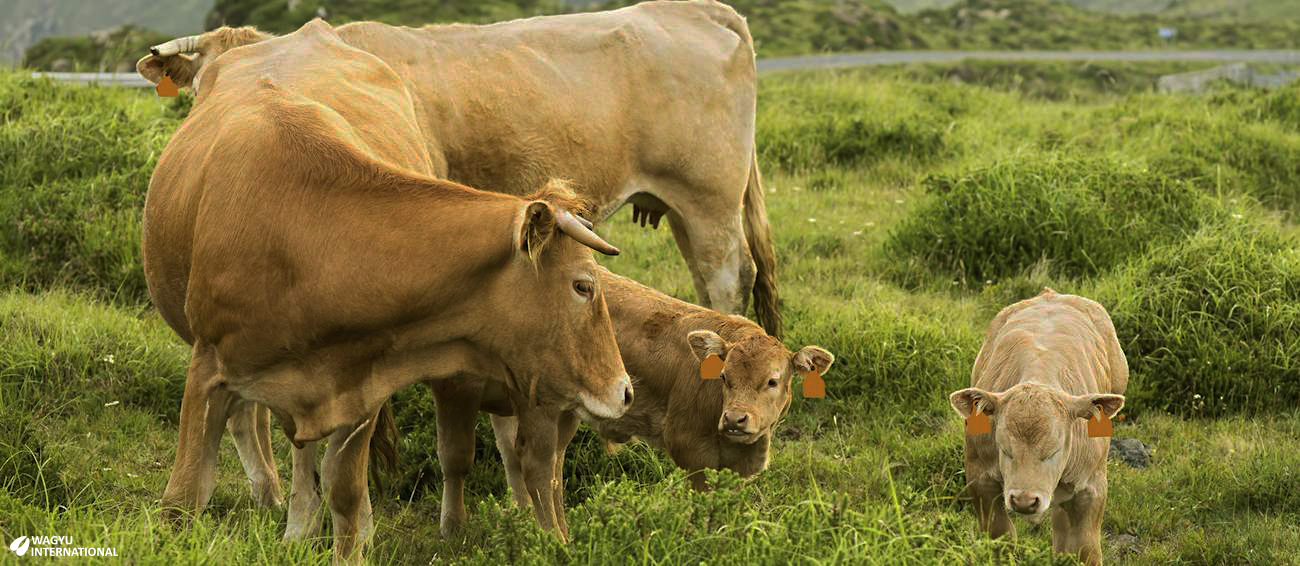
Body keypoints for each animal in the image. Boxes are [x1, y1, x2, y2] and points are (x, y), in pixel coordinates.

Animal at [138, 19, 634, 564]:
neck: (306, 235)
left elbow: (346, 492)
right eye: (584, 286)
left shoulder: (361, 386)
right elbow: (185, 494)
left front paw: (349, 542)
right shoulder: (209, 370)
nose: (626, 391)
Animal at [946, 290, 1128, 564]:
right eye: (1004, 448)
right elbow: (1001, 536)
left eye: (1055, 450)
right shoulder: (979, 478)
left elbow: (1087, 549)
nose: (1024, 501)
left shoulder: (1092, 487)